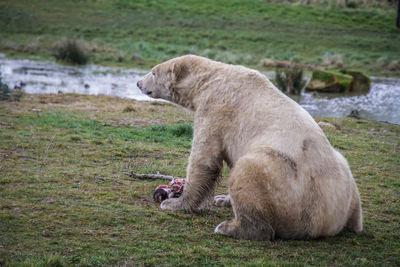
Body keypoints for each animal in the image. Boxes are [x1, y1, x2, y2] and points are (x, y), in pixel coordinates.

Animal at [137, 55, 362, 242]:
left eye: (153, 71)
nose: (139, 83)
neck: (210, 80)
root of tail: (329, 219)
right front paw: (222, 199)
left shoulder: (216, 109)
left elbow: (205, 158)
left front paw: (175, 204)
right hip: (345, 177)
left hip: (289, 185)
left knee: (248, 170)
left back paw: (230, 228)